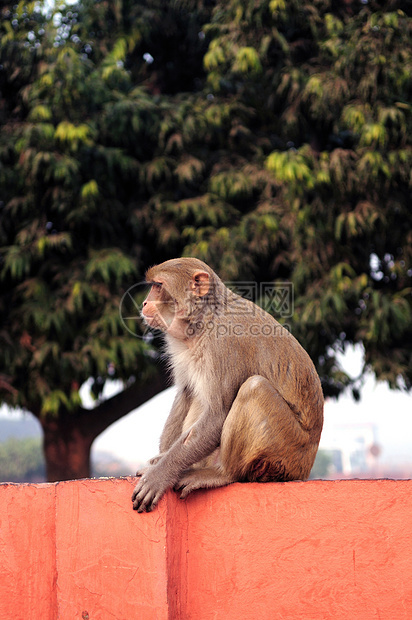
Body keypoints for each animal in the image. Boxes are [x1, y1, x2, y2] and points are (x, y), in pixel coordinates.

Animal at [130, 256, 324, 512]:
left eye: (158, 286)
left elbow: (218, 415)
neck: (204, 321)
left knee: (254, 388)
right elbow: (186, 393)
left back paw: (221, 473)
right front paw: (160, 459)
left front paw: (159, 475)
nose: (144, 303)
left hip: (286, 453)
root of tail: (305, 469)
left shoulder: (224, 343)